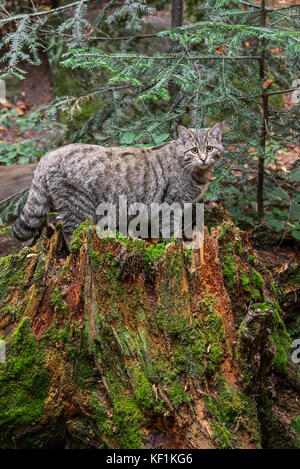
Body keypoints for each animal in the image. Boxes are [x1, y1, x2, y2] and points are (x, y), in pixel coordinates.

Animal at [11, 123, 223, 249]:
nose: (203, 158)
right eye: (194, 150)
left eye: (210, 148)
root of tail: (49, 155)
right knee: (69, 232)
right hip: (79, 208)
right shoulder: (171, 205)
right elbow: (172, 231)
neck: (198, 172)